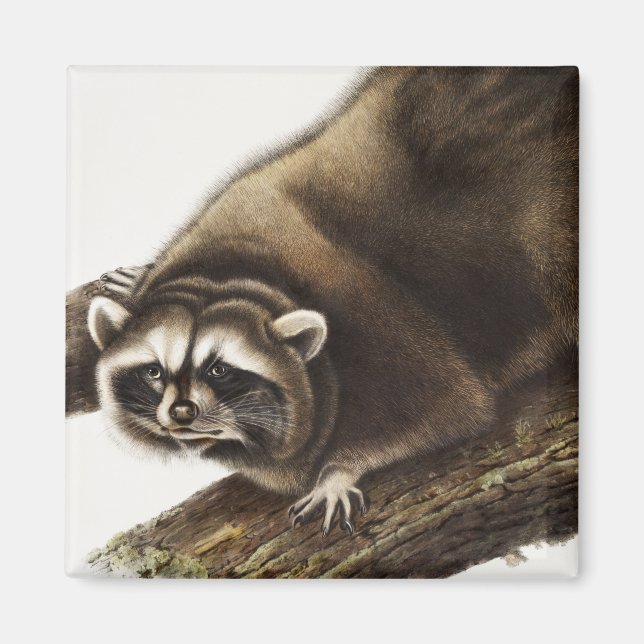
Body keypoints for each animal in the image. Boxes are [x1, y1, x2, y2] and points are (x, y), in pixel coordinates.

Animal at [88, 67, 578, 536]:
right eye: (154, 371)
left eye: (220, 370)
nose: (182, 412)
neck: (227, 275)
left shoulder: (375, 320)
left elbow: (450, 407)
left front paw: (338, 471)